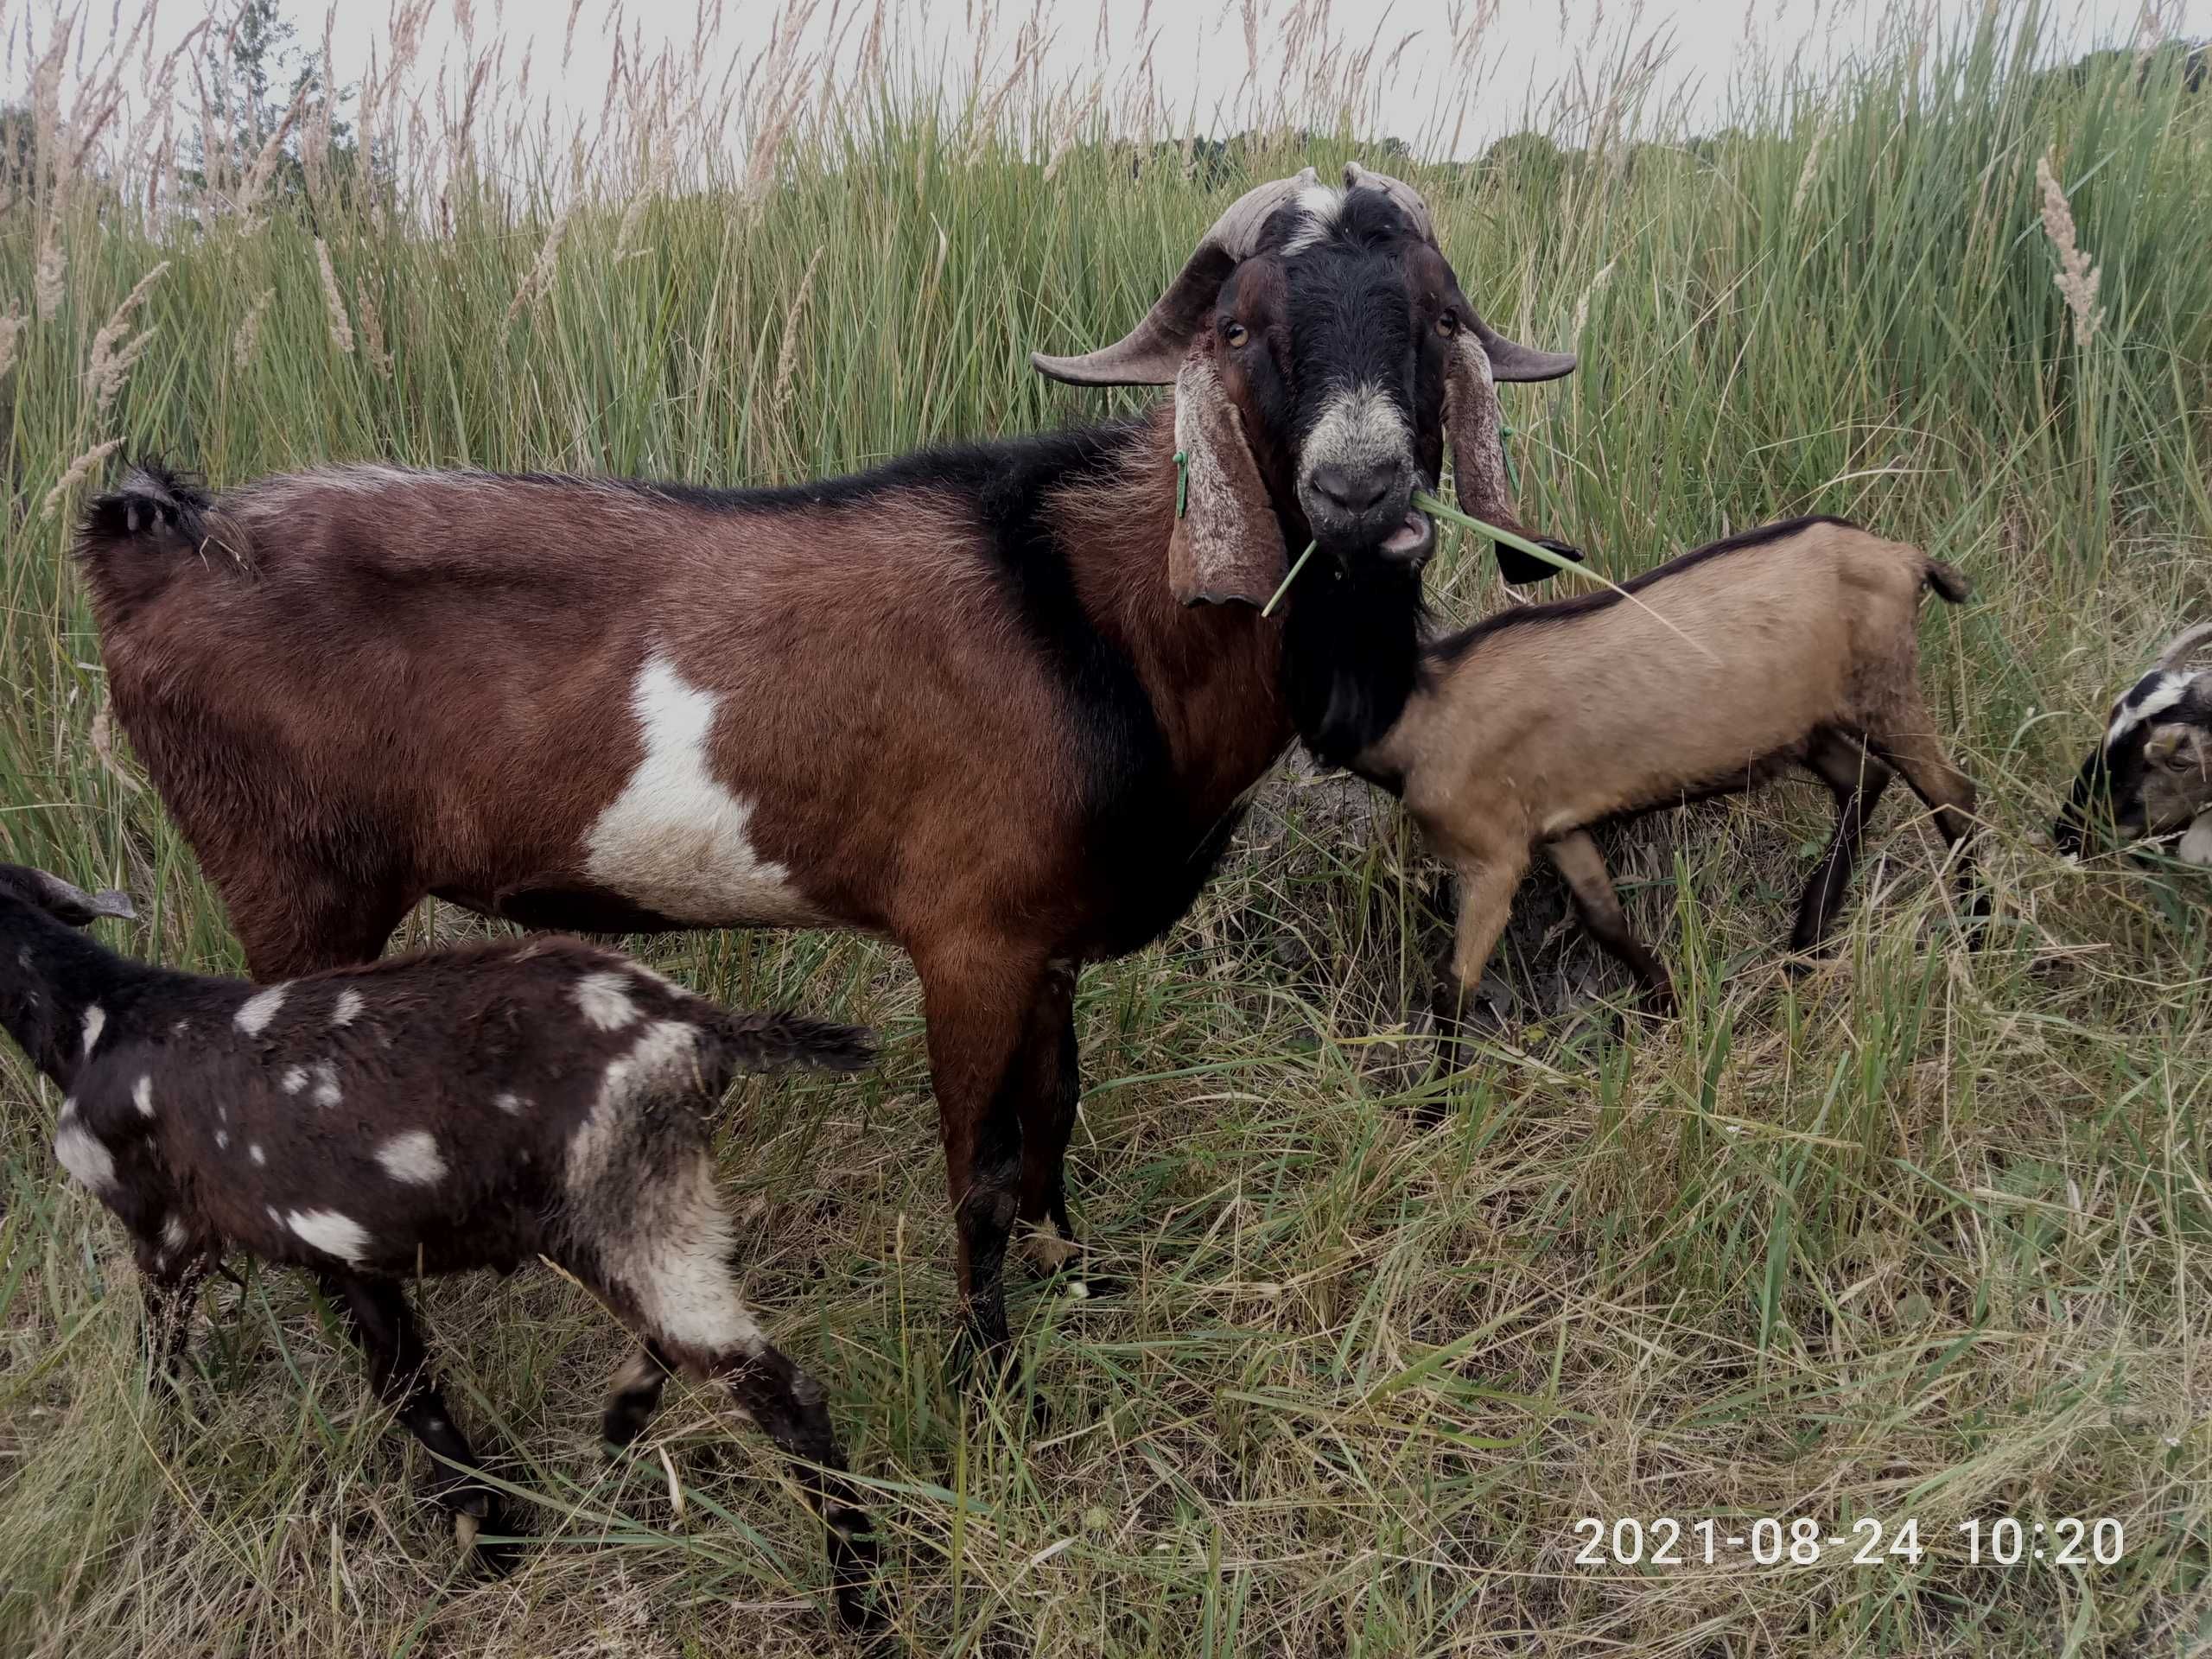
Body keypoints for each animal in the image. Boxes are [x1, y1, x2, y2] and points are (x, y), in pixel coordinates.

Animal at [78, 168, 1583, 1389]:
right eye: (1241, 330)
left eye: (1434, 320)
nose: (1361, 489)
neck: (1097, 615)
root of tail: (160, 542)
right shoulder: (965, 940)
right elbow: (978, 1168)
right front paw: (991, 1383)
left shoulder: (1043, 940)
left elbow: (1057, 1113)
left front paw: (1082, 1278)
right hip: (295, 892)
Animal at [1371, 512, 1981, 1021]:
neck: (1424, 698)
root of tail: (1903, 556)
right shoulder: (1556, 828)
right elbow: (1604, 918)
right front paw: (1673, 1012)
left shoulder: (1491, 858)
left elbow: (1454, 985)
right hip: (1804, 728)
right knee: (1864, 778)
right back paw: (1803, 950)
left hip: (1884, 693)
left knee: (1955, 794)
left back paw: (1976, 936)